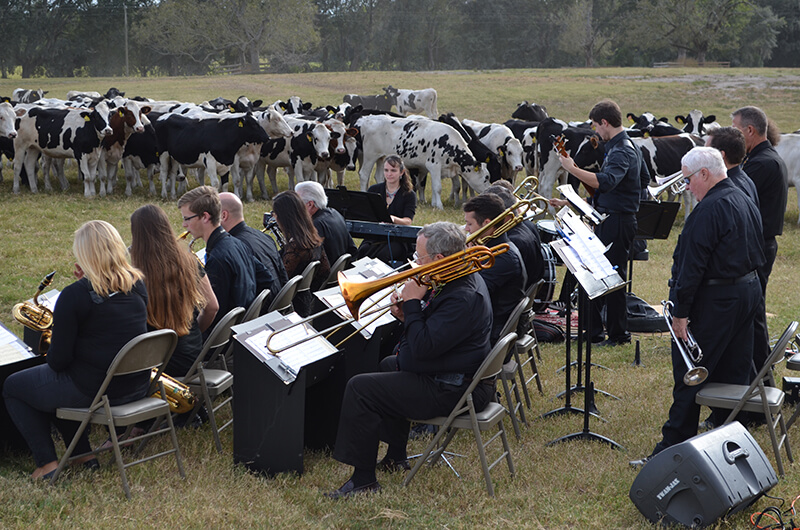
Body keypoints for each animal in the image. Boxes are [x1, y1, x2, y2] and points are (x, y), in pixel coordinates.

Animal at [354, 113, 488, 208]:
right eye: (486, 178)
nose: (488, 192)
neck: (448, 143)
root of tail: (367, 119)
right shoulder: (434, 165)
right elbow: (437, 187)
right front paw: (439, 206)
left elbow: (439, 186)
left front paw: (436, 204)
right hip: (370, 155)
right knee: (364, 174)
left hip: (382, 158)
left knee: (379, 177)